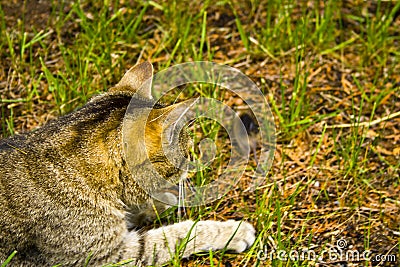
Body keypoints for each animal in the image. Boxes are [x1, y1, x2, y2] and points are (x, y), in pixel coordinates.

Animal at [0, 61, 255, 266]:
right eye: (187, 152)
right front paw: (232, 232)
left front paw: (159, 203)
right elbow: (178, 235)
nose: (192, 164)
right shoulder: (109, 257)